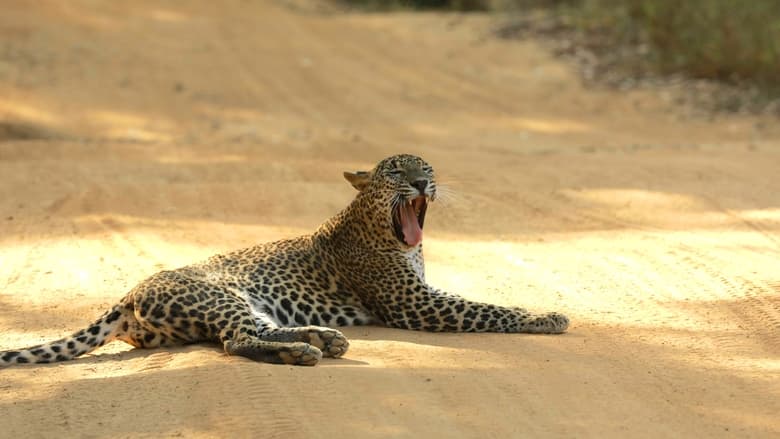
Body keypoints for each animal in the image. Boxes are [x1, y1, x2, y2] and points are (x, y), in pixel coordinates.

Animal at [3, 155, 568, 368]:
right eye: (395, 172)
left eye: (425, 167)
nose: (420, 184)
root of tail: (129, 293)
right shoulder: (415, 304)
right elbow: (490, 308)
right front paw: (548, 316)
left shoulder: (422, 294)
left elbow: (483, 302)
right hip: (221, 297)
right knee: (234, 341)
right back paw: (305, 351)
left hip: (241, 306)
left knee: (251, 332)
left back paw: (322, 338)